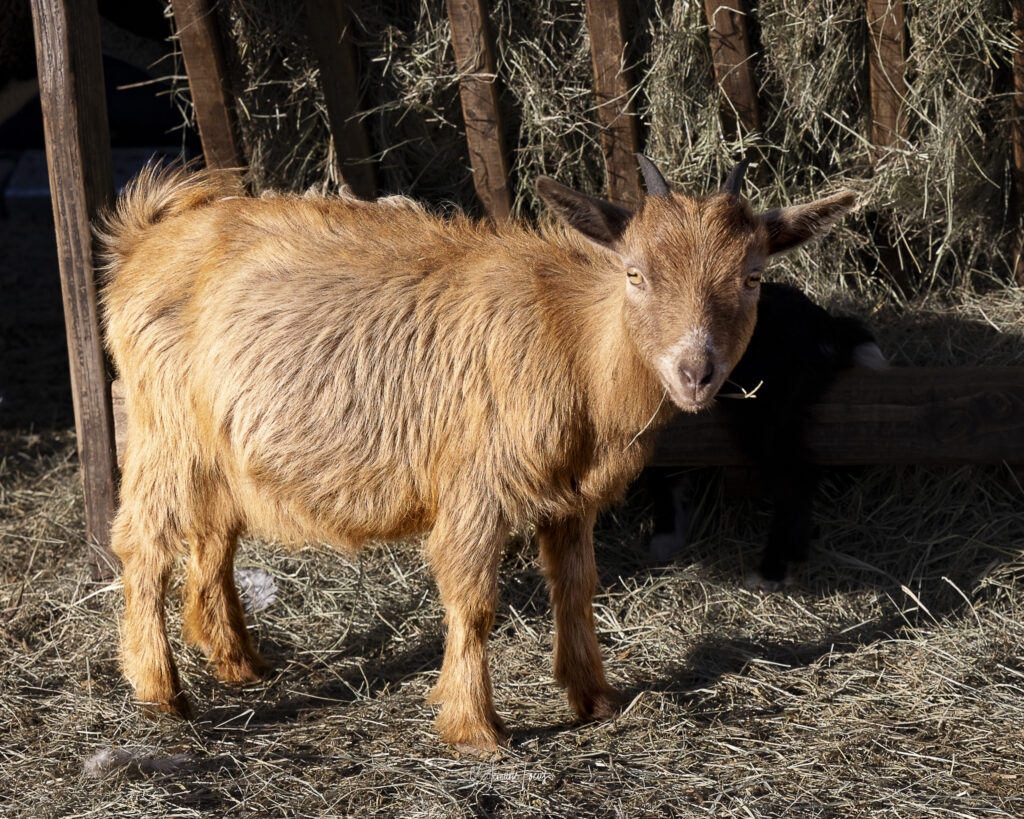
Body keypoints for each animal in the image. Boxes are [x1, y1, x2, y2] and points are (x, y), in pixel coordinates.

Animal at [98, 156, 855, 752]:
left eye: (752, 277)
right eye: (636, 273)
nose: (696, 370)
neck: (571, 339)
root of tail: (143, 239)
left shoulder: (572, 497)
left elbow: (576, 586)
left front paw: (595, 698)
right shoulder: (475, 488)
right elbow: (474, 601)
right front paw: (474, 728)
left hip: (216, 446)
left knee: (213, 534)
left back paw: (237, 660)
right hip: (162, 430)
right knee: (143, 543)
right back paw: (161, 689)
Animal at [644, 282, 885, 588]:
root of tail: (827, 325)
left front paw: (663, 542)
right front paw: (668, 541)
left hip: (767, 408)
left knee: (795, 478)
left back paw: (771, 573)